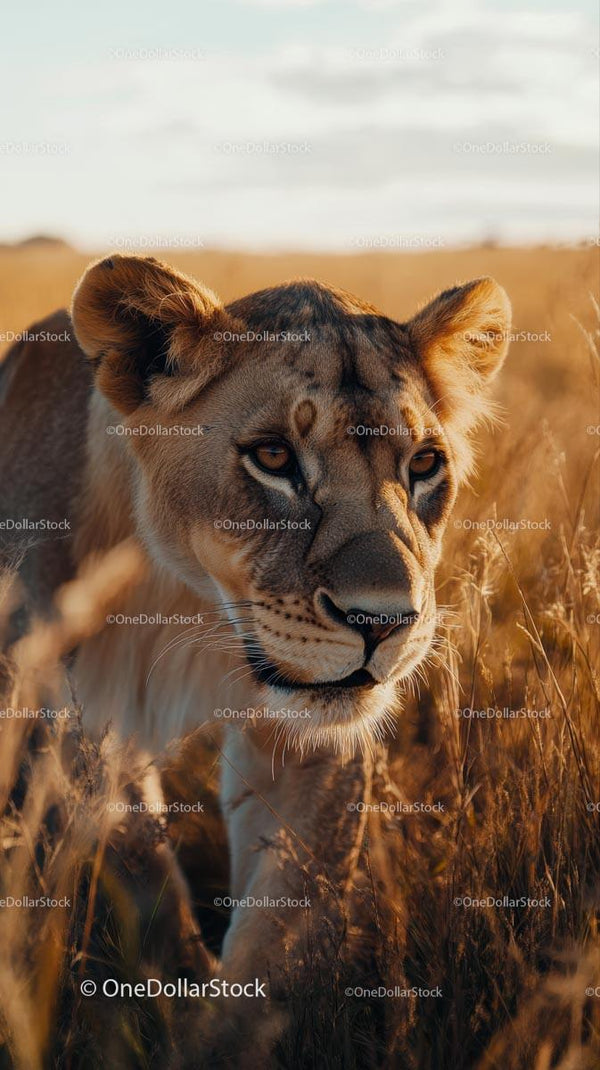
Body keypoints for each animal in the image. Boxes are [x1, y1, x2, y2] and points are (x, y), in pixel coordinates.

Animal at [0, 255, 510, 1060]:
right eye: (273, 457)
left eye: (426, 463)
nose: (384, 622)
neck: (188, 594)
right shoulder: (53, 707)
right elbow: (135, 860)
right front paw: (175, 991)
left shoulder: (309, 738)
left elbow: (280, 928)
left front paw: (222, 1034)